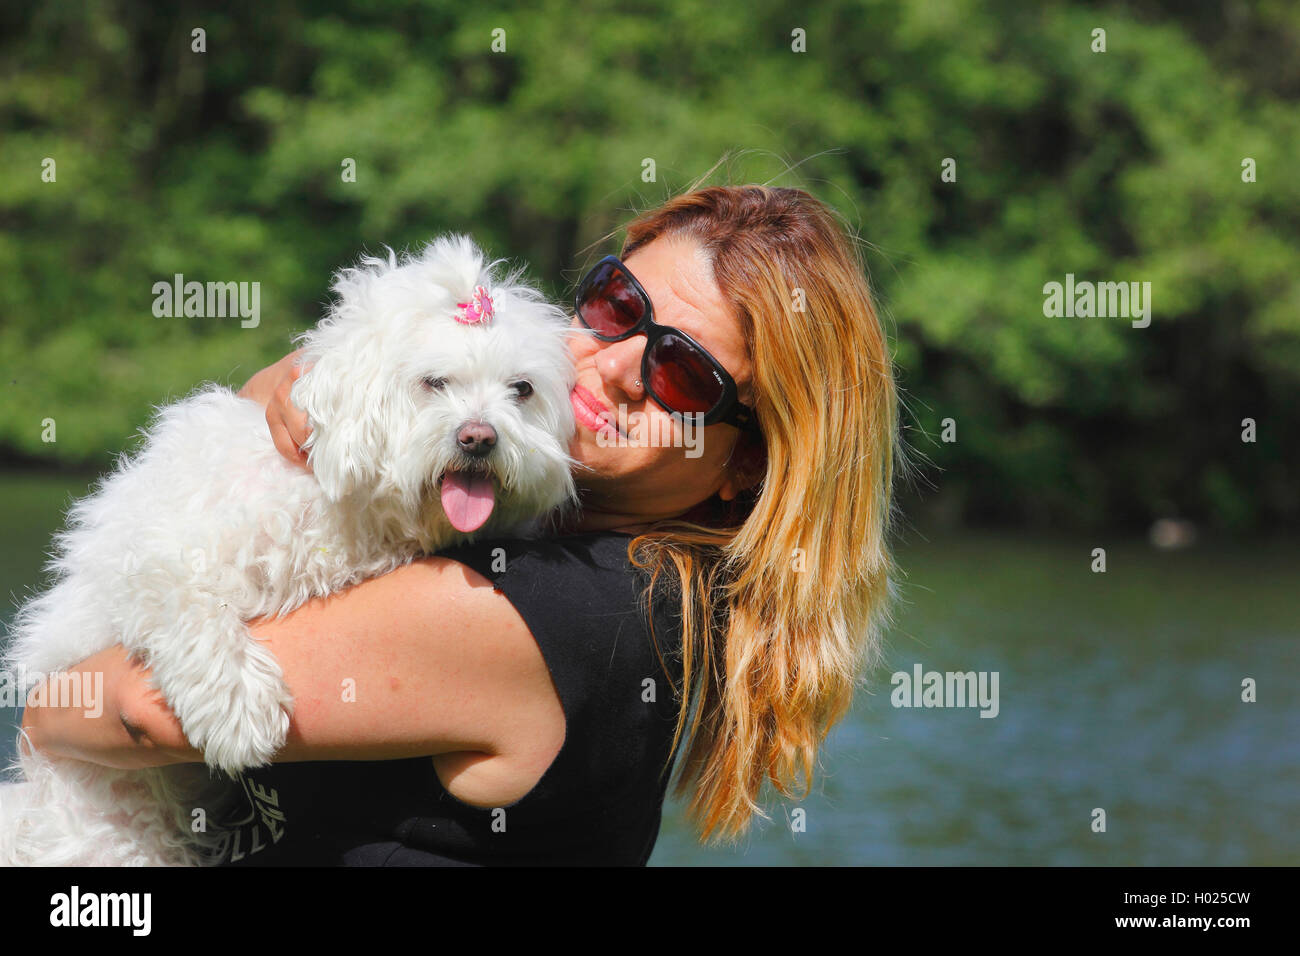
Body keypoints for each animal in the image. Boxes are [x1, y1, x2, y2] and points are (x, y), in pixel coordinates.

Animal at [0, 238, 579, 868]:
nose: (479, 438)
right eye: (434, 382)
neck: (339, 501)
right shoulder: (156, 561)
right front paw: (238, 708)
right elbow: (194, 614)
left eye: (521, 390)